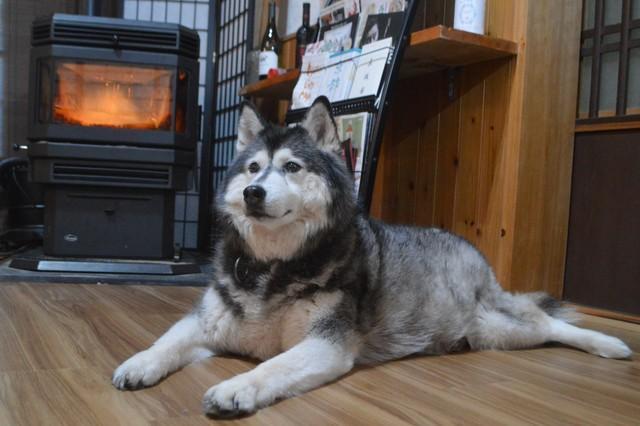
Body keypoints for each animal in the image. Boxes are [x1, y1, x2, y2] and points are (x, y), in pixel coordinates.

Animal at [112, 95, 632, 416]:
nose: (253, 193)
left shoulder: (327, 344)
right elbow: (167, 341)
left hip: (498, 325)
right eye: (253, 167)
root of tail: (468, 246)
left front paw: (236, 388)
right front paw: (138, 363)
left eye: (292, 167)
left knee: (551, 324)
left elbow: (270, 366)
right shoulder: (208, 323)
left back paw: (610, 344)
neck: (275, 266)